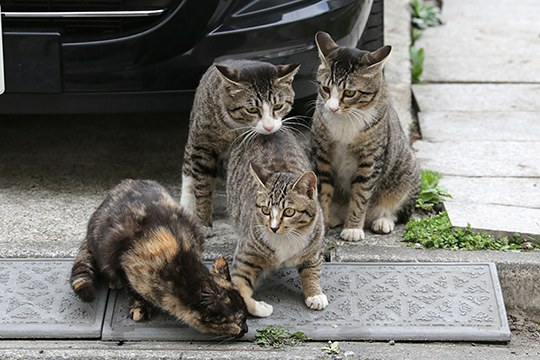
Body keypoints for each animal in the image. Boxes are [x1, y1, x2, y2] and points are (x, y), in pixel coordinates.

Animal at [69, 180, 249, 338]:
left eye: (246, 315)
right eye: (238, 320)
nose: (246, 330)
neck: (177, 262)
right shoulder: (121, 261)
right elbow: (132, 290)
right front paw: (139, 307)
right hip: (101, 243)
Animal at [310, 31, 420, 242]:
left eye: (349, 92)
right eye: (326, 89)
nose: (332, 108)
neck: (346, 119)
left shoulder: (370, 159)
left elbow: (361, 196)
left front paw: (353, 228)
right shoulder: (322, 156)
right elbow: (323, 192)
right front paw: (322, 224)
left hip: (406, 169)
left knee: (398, 209)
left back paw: (382, 220)